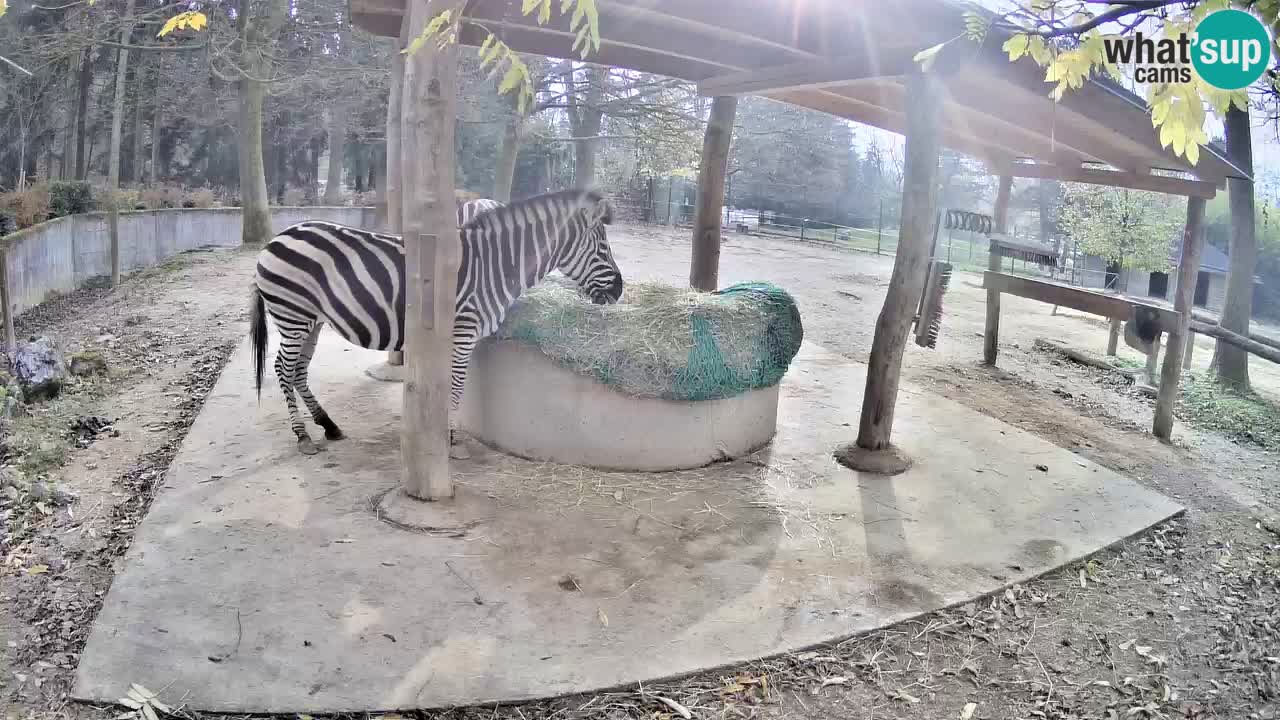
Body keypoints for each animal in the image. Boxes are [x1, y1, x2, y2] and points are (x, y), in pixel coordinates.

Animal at [249, 189, 623, 455]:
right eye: (603, 248)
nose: (619, 290)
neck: (492, 266)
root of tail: (276, 238)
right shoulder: (462, 332)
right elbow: (456, 386)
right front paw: (452, 439)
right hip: (293, 314)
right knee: (283, 368)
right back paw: (302, 436)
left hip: (311, 319)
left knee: (299, 370)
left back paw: (328, 425)